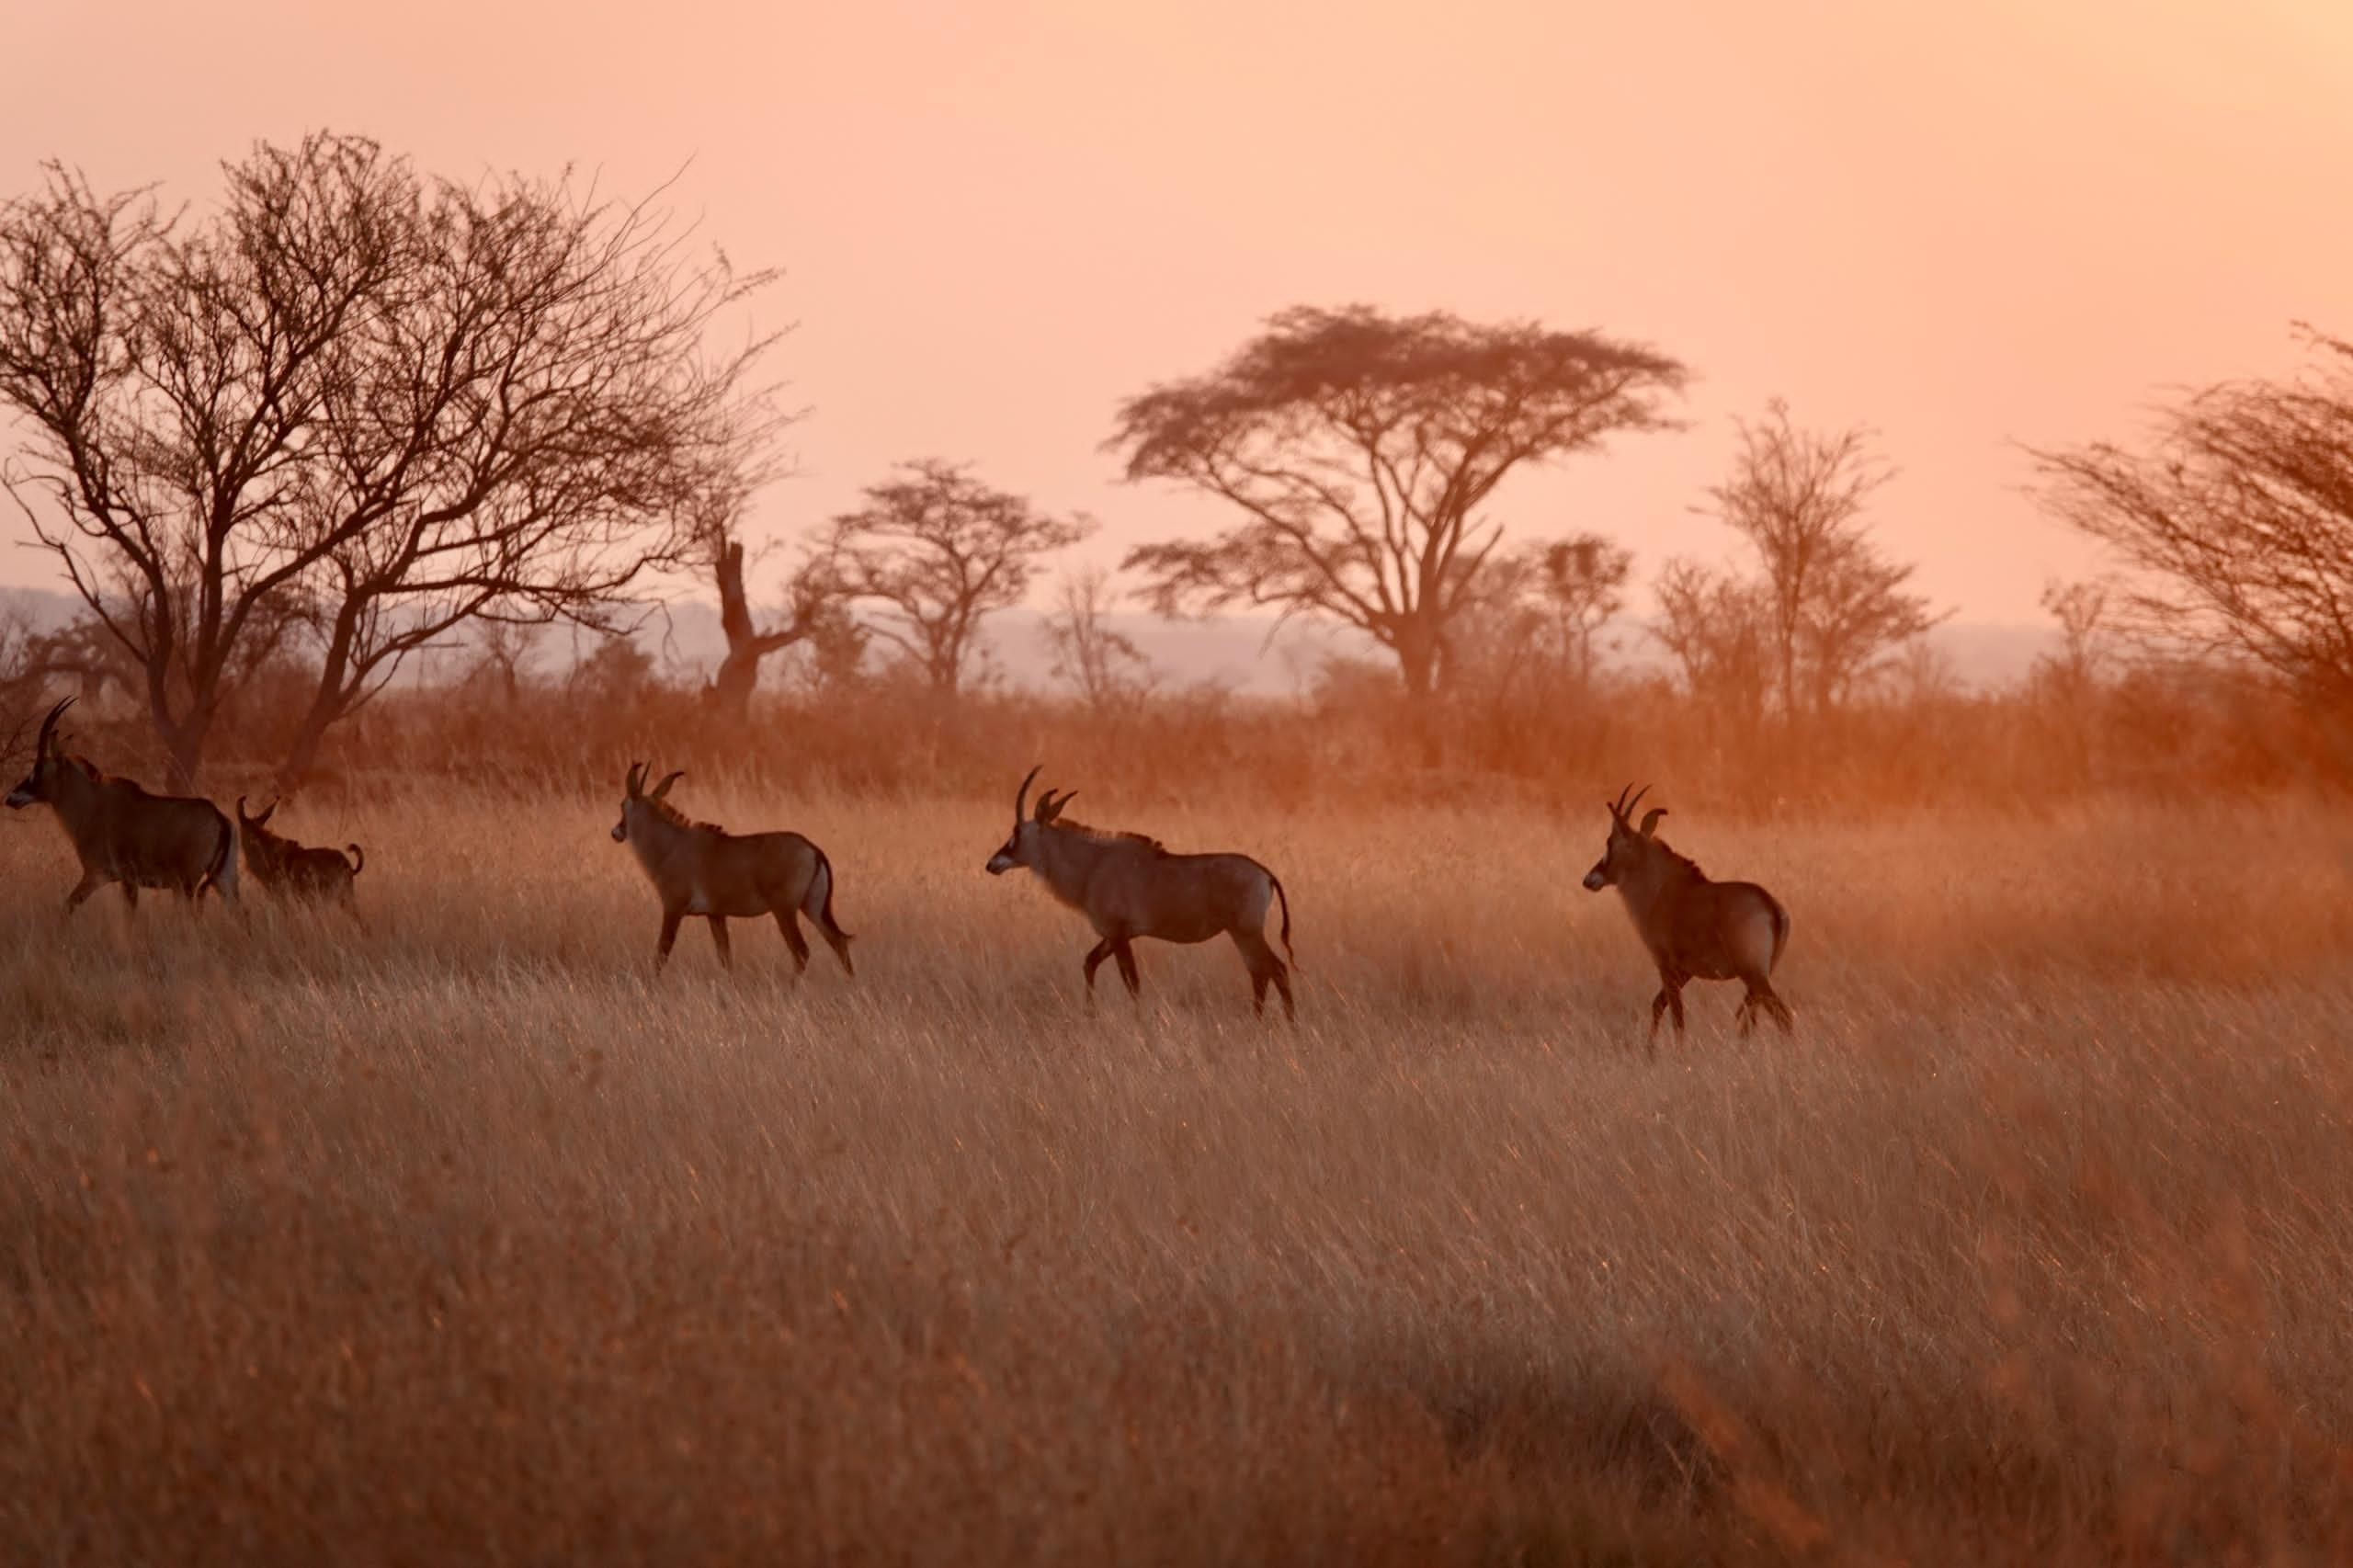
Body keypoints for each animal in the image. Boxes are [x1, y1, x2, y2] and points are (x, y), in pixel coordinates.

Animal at [5, 692, 238, 903]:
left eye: (38, 769)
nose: (11, 798)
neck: (91, 806)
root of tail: (219, 818)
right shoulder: (113, 879)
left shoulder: (105, 876)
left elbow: (69, 906)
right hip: (223, 880)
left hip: (187, 883)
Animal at [607, 757, 856, 970]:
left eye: (621, 804)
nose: (615, 832)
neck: (671, 845)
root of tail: (813, 850)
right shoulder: (716, 914)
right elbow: (725, 958)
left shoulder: (673, 907)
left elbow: (661, 953)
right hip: (813, 908)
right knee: (838, 942)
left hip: (785, 910)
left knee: (801, 951)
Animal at [983, 767, 1299, 1012]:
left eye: (1016, 833)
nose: (991, 864)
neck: (1093, 865)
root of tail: (1264, 873)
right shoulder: (1115, 935)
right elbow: (1089, 963)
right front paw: (1090, 1014)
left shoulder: (1119, 934)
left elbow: (1132, 983)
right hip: (1240, 934)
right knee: (1260, 973)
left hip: (1247, 931)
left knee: (1277, 970)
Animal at [1581, 777, 1797, 1036]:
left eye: (1610, 843)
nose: (1588, 879)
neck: (1659, 889)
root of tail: (1771, 907)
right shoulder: (1686, 972)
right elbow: (1658, 1005)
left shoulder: (1666, 965)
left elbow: (1676, 1018)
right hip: (1757, 978)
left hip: (1753, 975)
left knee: (1783, 1016)